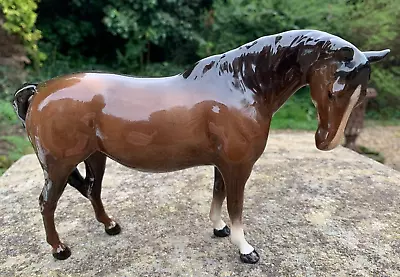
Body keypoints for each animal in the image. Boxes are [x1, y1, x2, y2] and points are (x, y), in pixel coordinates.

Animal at [13, 29, 390, 262]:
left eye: (360, 95)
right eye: (334, 90)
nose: (326, 142)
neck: (244, 83)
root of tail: (38, 92)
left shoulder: (223, 164)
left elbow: (218, 195)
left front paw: (219, 229)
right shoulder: (238, 166)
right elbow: (235, 205)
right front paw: (245, 249)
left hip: (95, 157)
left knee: (93, 191)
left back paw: (110, 227)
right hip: (59, 166)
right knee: (47, 204)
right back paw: (60, 249)